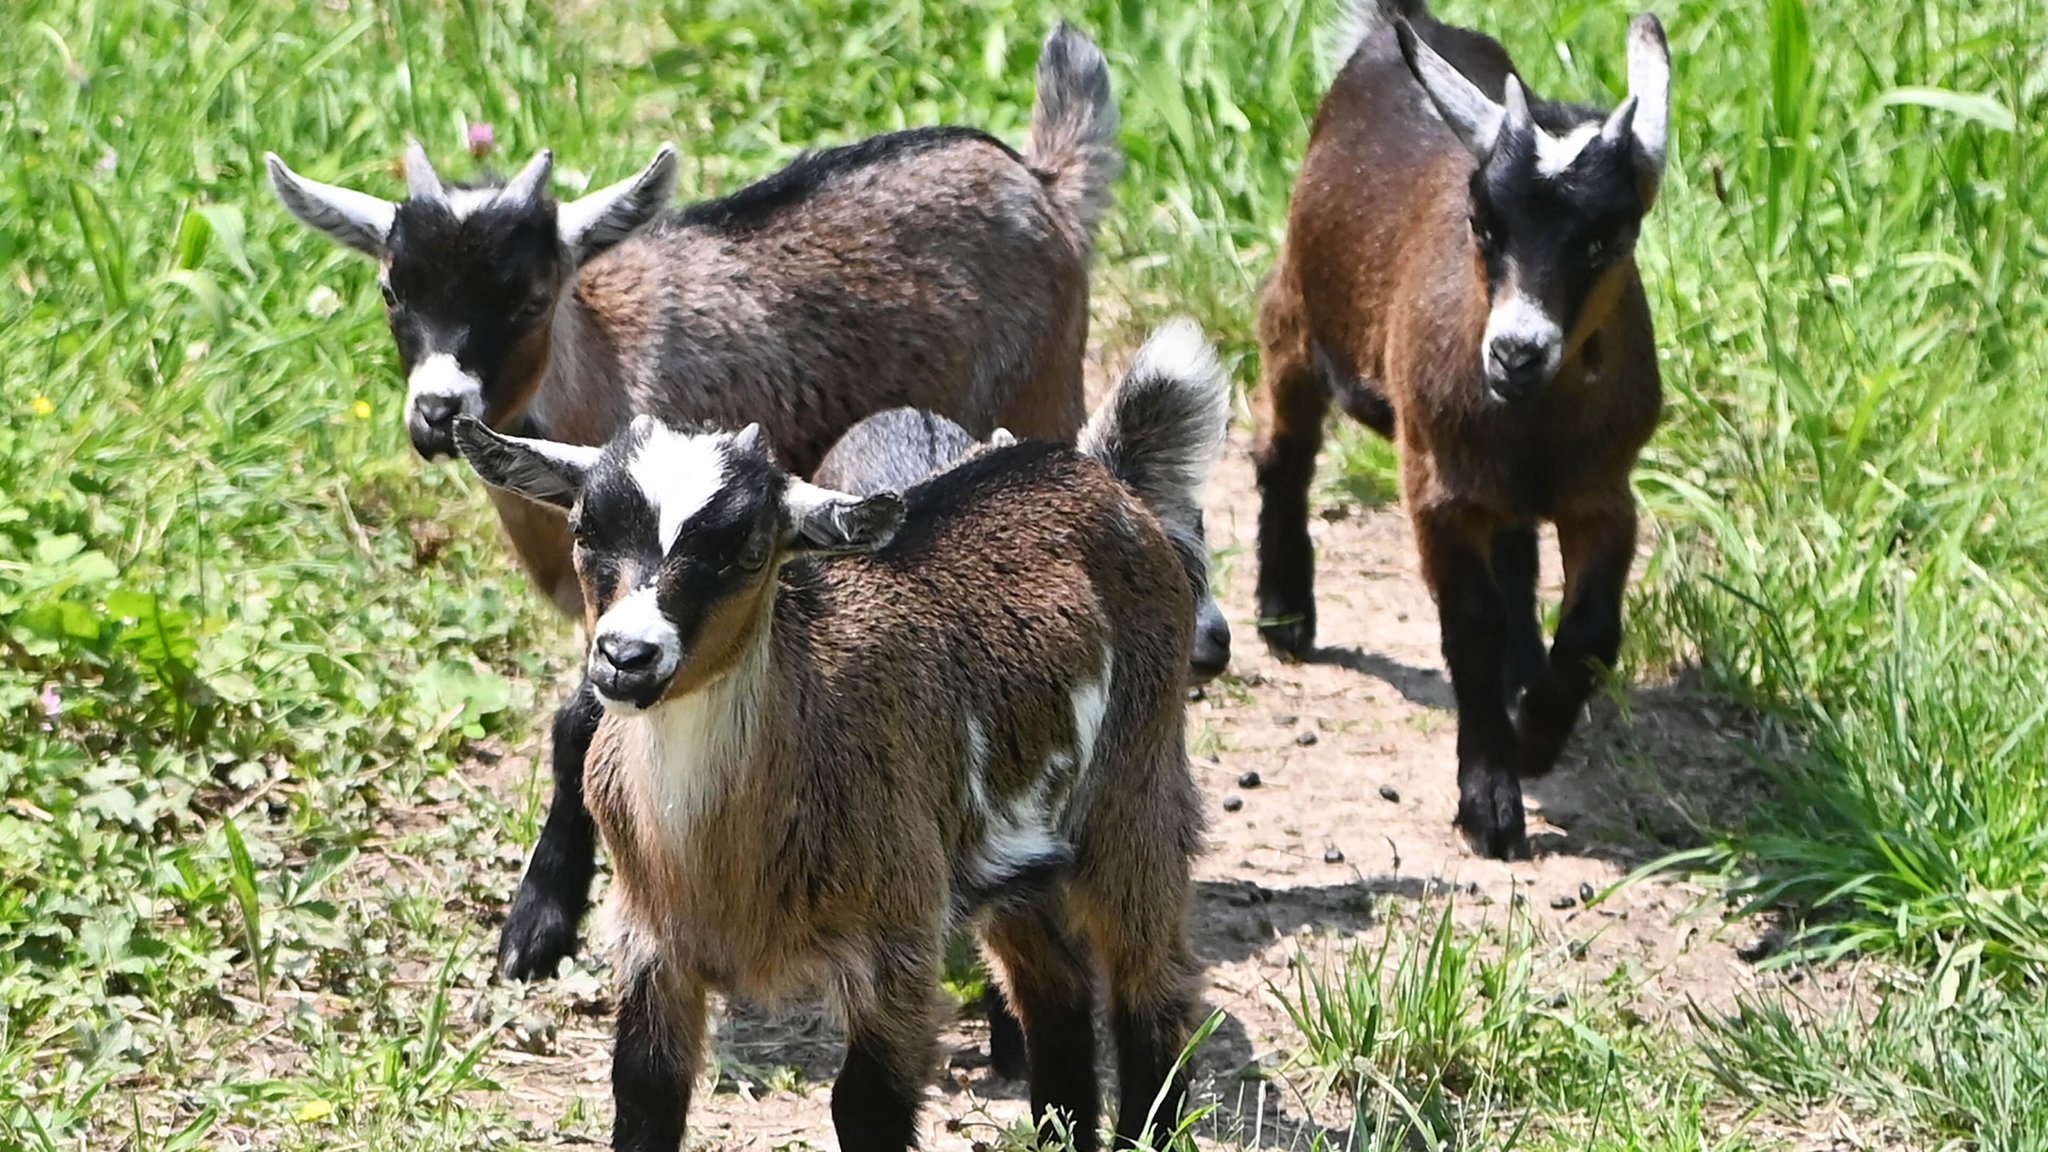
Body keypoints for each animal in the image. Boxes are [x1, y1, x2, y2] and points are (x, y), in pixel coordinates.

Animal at [266, 22, 1130, 975]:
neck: (607, 359)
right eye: (393, 290)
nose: (438, 412)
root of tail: (1041, 178)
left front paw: (539, 918)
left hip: (1044, 389)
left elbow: (580, 723)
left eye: (529, 298)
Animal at [1253, 2, 1671, 860]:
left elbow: (1592, 631)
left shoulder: (1603, 492)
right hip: (1296, 308)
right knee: (1286, 448)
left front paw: (1537, 732)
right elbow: (1469, 625)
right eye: (1482, 225)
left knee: (1515, 546)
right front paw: (1490, 804)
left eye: (1605, 239)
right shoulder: (1435, 484)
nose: (1515, 352)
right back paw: (1284, 613)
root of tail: (1405, 25)